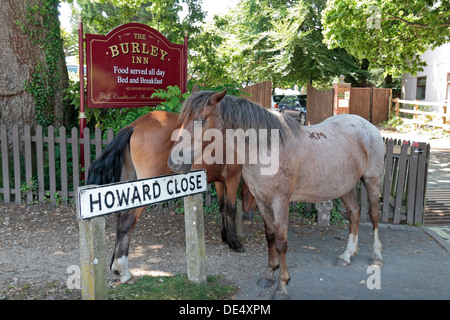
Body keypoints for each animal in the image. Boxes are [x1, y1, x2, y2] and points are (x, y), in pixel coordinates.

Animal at [86, 109, 250, 282]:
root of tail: (134, 126)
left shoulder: (219, 180)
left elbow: (222, 207)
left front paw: (225, 236)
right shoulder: (233, 177)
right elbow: (231, 210)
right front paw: (234, 242)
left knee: (120, 217)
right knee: (127, 219)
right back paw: (122, 268)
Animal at [167, 90, 384, 300]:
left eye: (202, 120)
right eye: (183, 118)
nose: (174, 162)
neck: (267, 149)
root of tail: (367, 125)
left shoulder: (280, 202)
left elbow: (281, 243)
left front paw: (282, 286)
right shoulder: (262, 201)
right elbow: (270, 236)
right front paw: (269, 273)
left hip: (371, 181)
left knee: (373, 215)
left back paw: (376, 256)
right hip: (345, 187)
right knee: (354, 213)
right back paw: (347, 255)